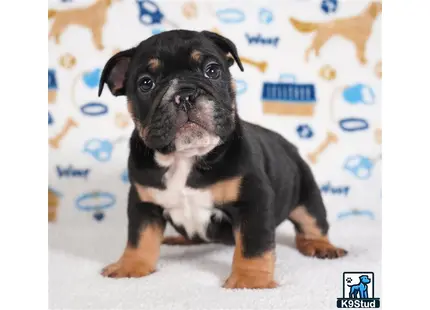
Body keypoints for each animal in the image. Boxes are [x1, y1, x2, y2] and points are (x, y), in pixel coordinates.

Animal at [96, 30, 346, 290]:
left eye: (212, 70)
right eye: (146, 83)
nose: (184, 95)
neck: (186, 157)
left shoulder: (253, 202)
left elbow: (253, 244)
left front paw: (250, 280)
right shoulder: (143, 202)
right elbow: (139, 237)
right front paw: (131, 266)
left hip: (306, 191)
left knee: (312, 221)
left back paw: (320, 246)